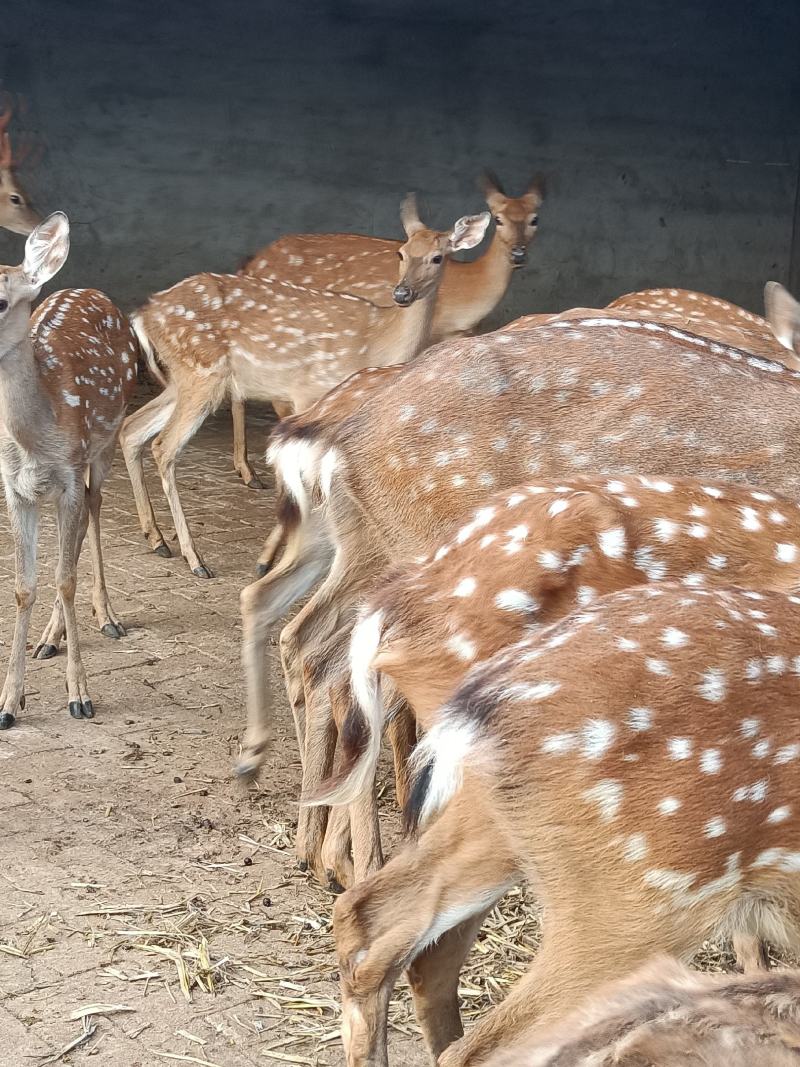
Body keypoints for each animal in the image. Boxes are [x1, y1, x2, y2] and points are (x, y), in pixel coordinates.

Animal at [0, 212, 139, 728]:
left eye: (2, 300)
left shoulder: (70, 474)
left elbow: (64, 578)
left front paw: (79, 695)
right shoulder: (14, 488)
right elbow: (24, 586)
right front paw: (9, 701)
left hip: (105, 444)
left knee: (94, 512)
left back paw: (107, 615)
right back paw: (49, 638)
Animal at [120, 197, 490, 578]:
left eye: (438, 257)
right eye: (400, 253)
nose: (402, 293)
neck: (377, 340)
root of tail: (142, 315)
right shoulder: (307, 393)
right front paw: (267, 560)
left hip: (184, 379)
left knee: (132, 428)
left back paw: (158, 539)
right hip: (202, 373)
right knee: (164, 446)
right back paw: (194, 559)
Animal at [230, 173, 544, 489]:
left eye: (535, 219)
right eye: (498, 219)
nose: (518, 254)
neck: (468, 293)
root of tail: (251, 264)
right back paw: (249, 471)